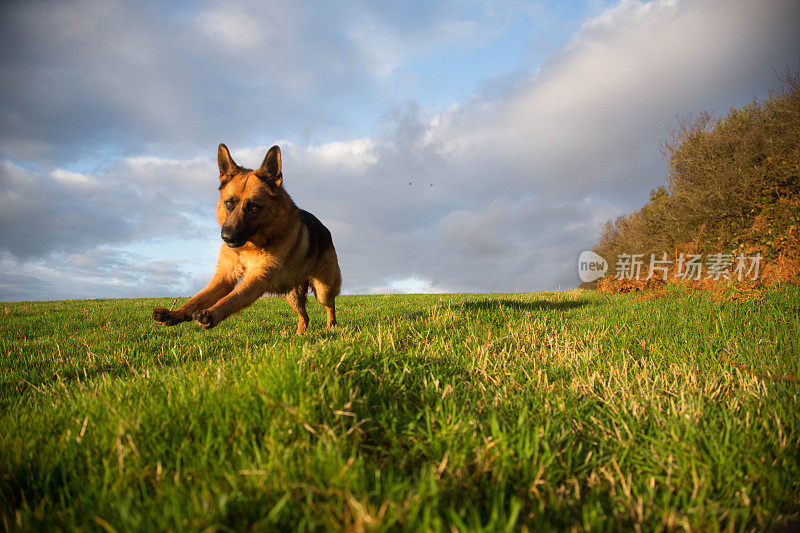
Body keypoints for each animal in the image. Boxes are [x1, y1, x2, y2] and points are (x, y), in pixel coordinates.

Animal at [153, 142, 340, 332]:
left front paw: (210, 314)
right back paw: (300, 333)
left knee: (330, 304)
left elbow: (231, 298)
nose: (226, 237)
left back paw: (332, 325)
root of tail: (326, 229)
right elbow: (197, 298)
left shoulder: (257, 277)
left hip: (322, 289)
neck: (249, 247)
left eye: (253, 207)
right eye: (229, 203)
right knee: (305, 316)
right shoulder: (225, 276)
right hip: (292, 294)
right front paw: (175, 313)